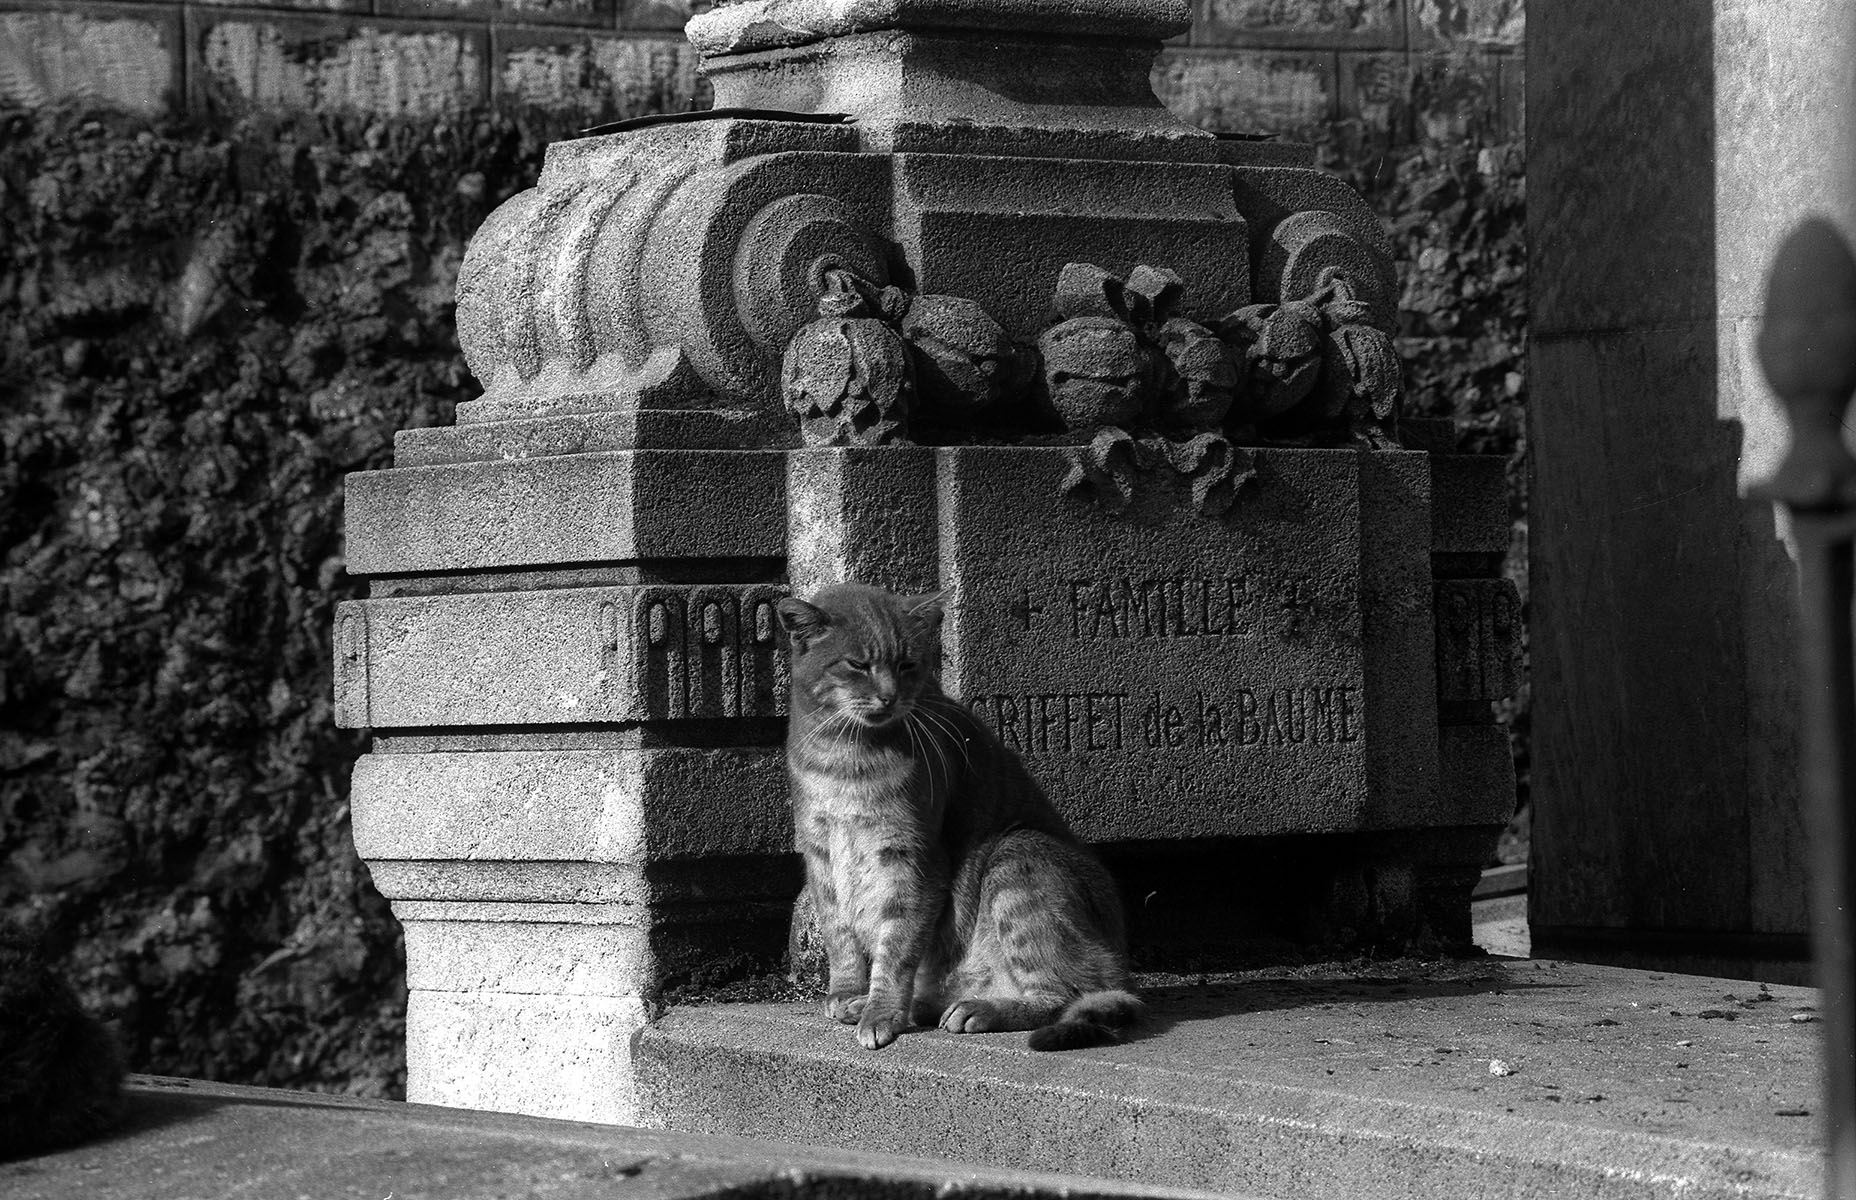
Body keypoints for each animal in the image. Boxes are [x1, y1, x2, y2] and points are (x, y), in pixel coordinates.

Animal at [777, 583, 1142, 1051]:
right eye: (858, 665)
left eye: (907, 664)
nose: (889, 696)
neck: (841, 755)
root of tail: (1123, 968)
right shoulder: (820, 855)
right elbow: (839, 935)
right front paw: (847, 993)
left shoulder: (912, 857)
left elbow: (896, 944)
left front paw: (880, 1012)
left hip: (1017, 854)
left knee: (1065, 992)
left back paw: (976, 1009)